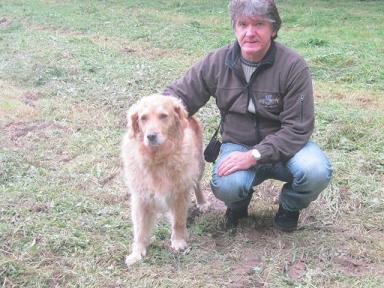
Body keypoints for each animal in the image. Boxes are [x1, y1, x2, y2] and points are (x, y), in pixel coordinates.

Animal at [121, 94, 208, 266]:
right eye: (143, 118)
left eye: (163, 116)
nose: (151, 136)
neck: (157, 158)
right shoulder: (141, 198)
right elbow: (140, 230)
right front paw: (137, 252)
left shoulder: (181, 192)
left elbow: (179, 221)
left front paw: (178, 241)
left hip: (199, 165)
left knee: (197, 184)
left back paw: (201, 202)